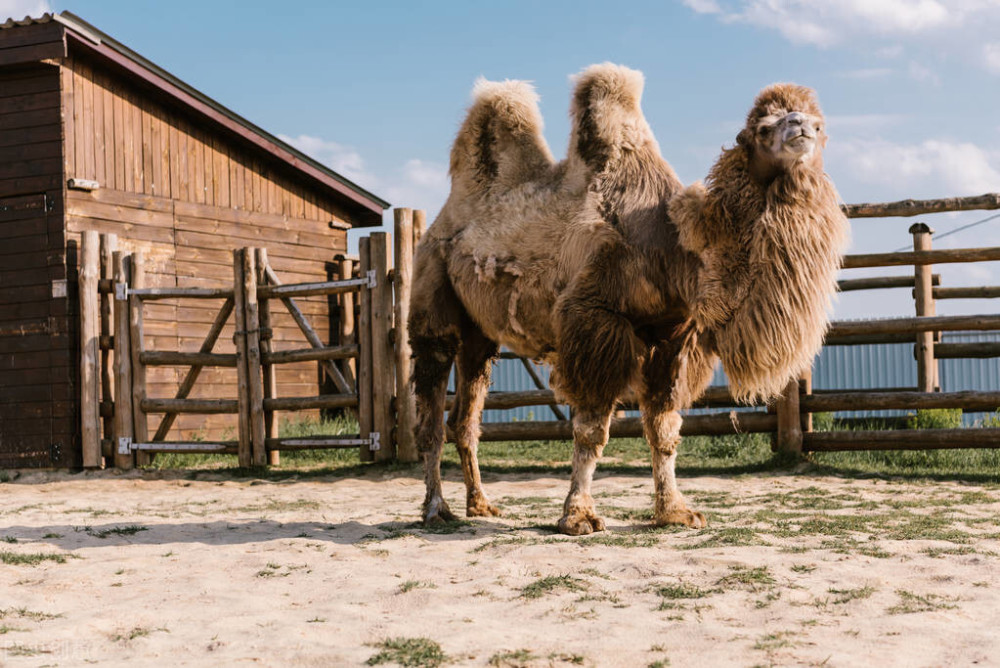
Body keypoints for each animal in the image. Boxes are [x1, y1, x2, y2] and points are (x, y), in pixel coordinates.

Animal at [406, 66, 844, 536]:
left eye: (820, 125)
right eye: (762, 129)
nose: (801, 127)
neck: (675, 252)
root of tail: (440, 222)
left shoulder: (673, 339)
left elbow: (664, 429)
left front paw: (675, 511)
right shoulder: (595, 320)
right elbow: (591, 430)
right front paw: (578, 516)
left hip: (480, 334)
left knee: (465, 417)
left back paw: (480, 505)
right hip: (432, 289)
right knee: (431, 412)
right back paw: (436, 510)